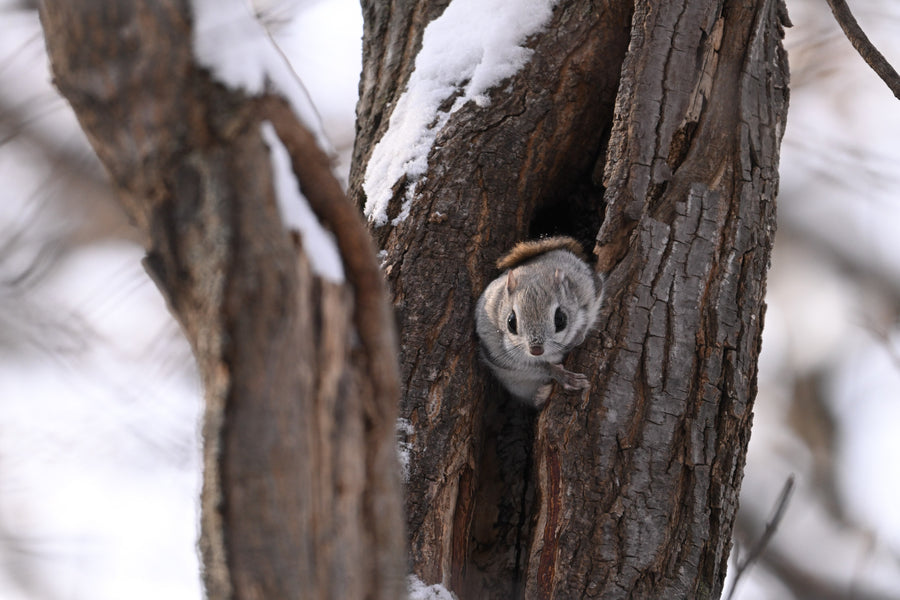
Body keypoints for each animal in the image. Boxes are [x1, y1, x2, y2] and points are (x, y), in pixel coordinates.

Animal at [475, 236, 604, 406]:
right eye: (511, 322)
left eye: (560, 319)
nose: (536, 350)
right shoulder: (496, 351)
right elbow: (537, 367)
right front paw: (562, 375)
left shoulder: (590, 290)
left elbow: (590, 315)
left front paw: (578, 336)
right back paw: (541, 395)